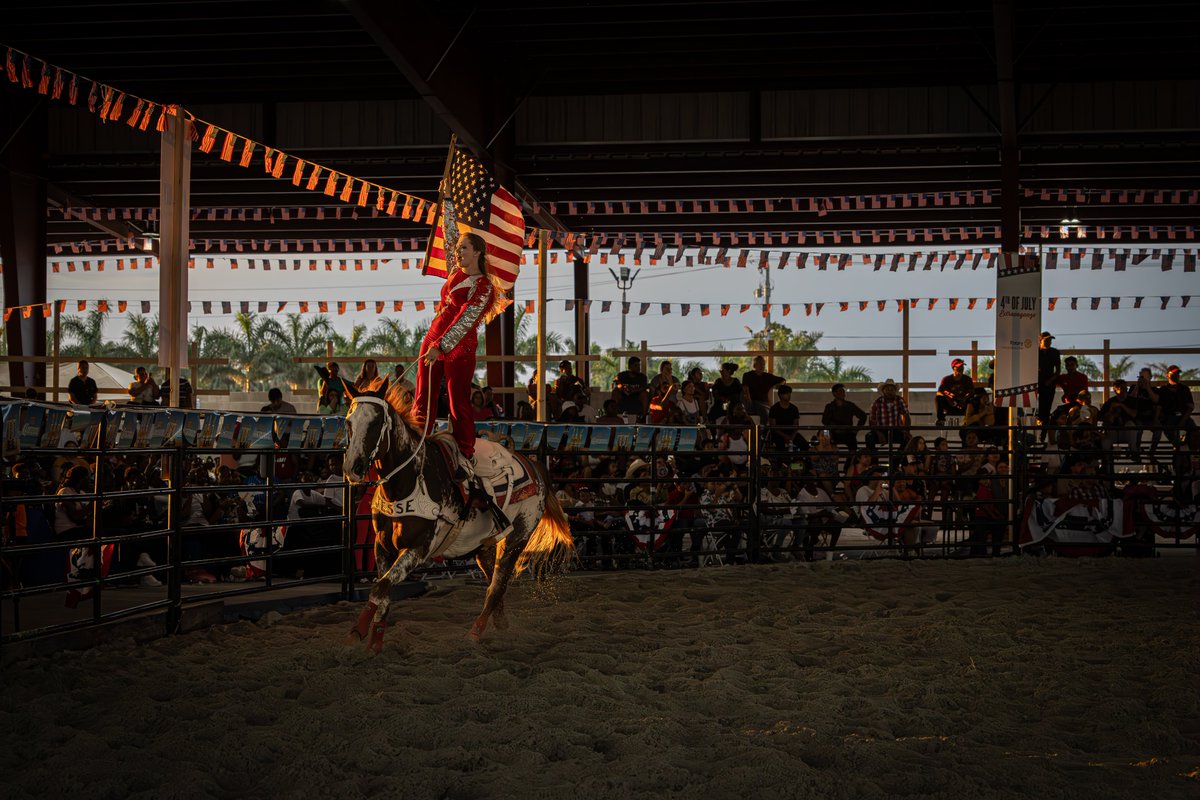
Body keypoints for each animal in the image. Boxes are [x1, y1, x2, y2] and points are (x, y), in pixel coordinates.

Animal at [343, 379, 571, 652]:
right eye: (349, 421)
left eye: (377, 422)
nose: (353, 468)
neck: (408, 480)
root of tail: (534, 467)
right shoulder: (382, 545)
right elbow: (384, 593)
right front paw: (373, 643)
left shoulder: (419, 548)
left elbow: (380, 589)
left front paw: (358, 632)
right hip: (484, 546)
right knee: (494, 586)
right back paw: (500, 625)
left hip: (517, 538)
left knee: (497, 586)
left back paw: (474, 634)